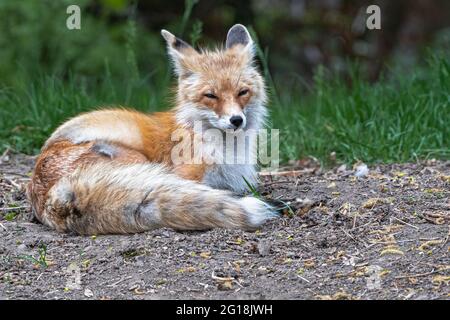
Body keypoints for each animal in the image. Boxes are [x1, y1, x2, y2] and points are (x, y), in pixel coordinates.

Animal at [28, 24, 276, 235]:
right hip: (138, 160)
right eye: (211, 96)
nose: (236, 120)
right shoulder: (185, 176)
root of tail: (53, 193)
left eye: (242, 92)